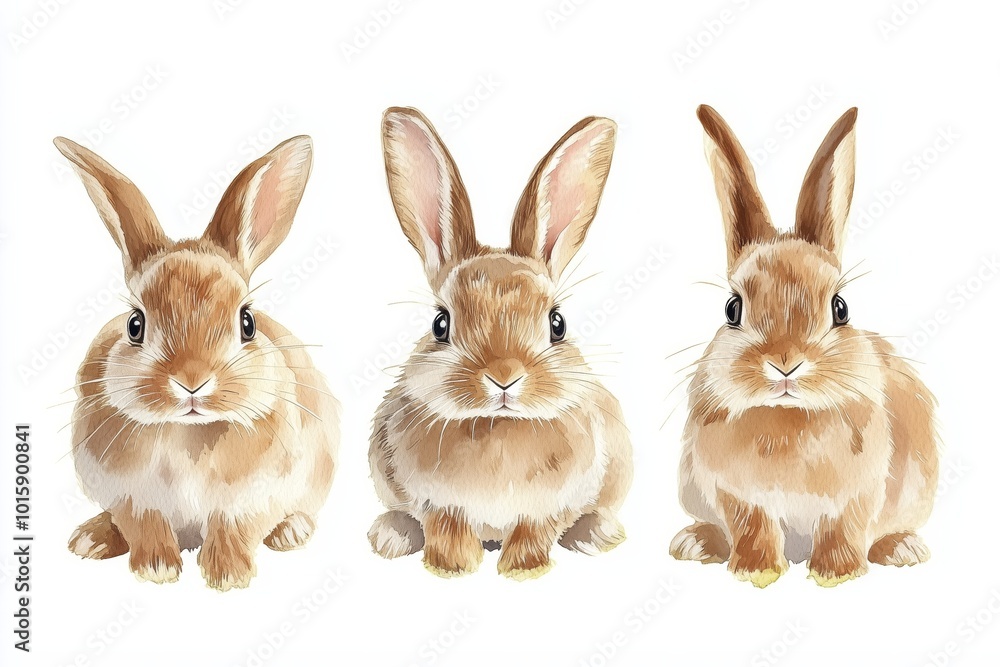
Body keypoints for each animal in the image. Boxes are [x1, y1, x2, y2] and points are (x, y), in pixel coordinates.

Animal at [55, 135, 339, 591]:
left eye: (247, 322)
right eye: (135, 325)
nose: (192, 380)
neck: (187, 434)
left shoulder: (251, 497)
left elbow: (233, 528)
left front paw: (228, 575)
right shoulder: (131, 498)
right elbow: (144, 526)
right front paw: (157, 569)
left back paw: (292, 531)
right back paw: (90, 538)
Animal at [367, 107, 633, 580]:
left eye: (557, 323)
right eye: (440, 324)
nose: (504, 375)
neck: (499, 427)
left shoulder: (551, 506)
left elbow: (535, 531)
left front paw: (523, 570)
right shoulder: (435, 503)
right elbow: (445, 529)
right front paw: (451, 567)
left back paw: (598, 535)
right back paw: (390, 535)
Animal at [669, 105, 940, 588]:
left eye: (841, 307)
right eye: (732, 308)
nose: (785, 363)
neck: (788, 419)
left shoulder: (857, 493)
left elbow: (843, 529)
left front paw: (837, 575)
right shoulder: (736, 494)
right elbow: (752, 527)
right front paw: (756, 572)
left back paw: (903, 549)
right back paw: (695, 543)